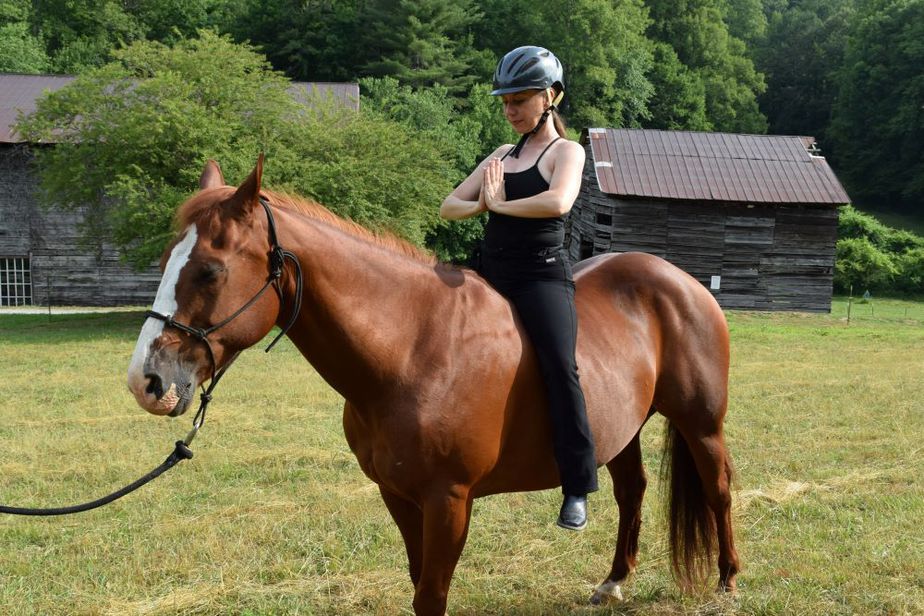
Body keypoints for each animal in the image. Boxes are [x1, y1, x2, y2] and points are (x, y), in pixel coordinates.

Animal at [126, 158, 740, 612]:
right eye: (165, 260)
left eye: (210, 270)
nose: (146, 381)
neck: (412, 349)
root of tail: (681, 281)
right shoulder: (398, 495)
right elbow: (418, 581)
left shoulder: (449, 501)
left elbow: (432, 595)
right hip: (622, 430)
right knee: (632, 491)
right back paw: (615, 582)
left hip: (701, 424)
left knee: (718, 490)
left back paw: (729, 578)